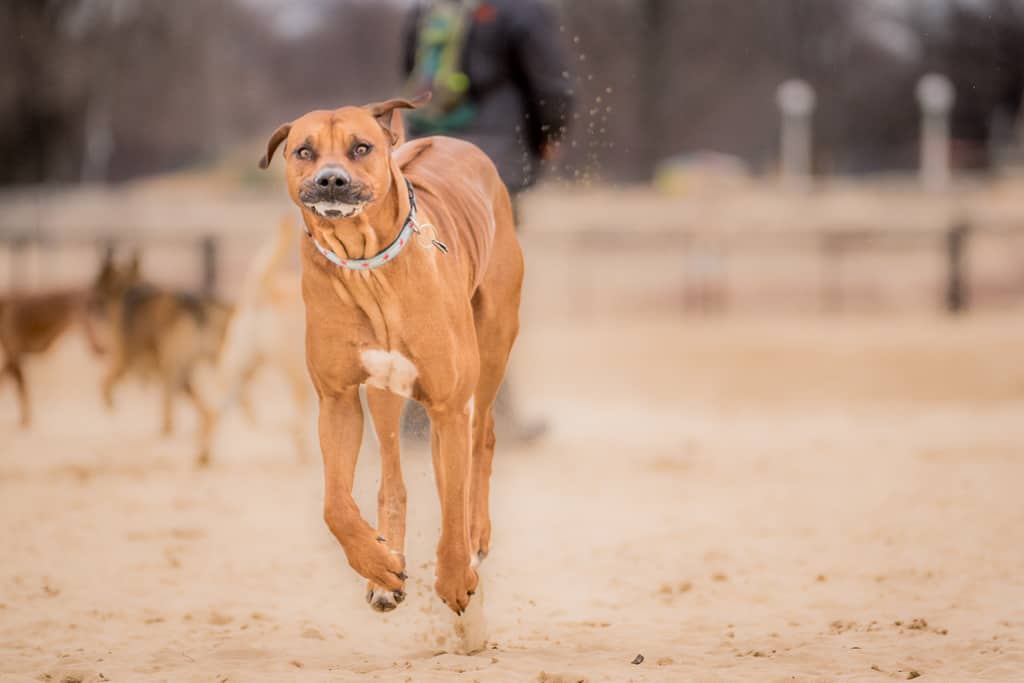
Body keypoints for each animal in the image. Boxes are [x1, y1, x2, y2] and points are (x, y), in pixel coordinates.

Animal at [260, 93, 524, 618]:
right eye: (304, 151)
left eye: (361, 147)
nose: (332, 180)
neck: (367, 266)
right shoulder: (337, 400)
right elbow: (335, 505)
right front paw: (377, 563)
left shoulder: (448, 407)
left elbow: (453, 500)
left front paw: (455, 576)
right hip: (385, 390)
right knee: (391, 474)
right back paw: (386, 565)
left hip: (491, 351)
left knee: (480, 444)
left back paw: (476, 537)